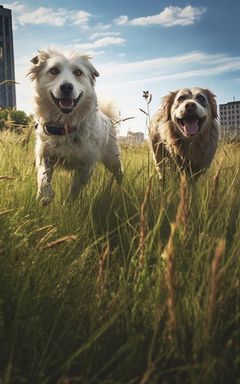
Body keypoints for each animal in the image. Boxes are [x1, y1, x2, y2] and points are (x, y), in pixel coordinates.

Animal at [27, 48, 122, 204]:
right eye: (53, 70)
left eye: (78, 72)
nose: (66, 86)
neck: (65, 126)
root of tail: (106, 116)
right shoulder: (44, 155)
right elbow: (43, 177)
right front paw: (45, 196)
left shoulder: (86, 165)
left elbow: (75, 188)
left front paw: (68, 204)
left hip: (113, 159)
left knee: (119, 174)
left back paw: (123, 191)